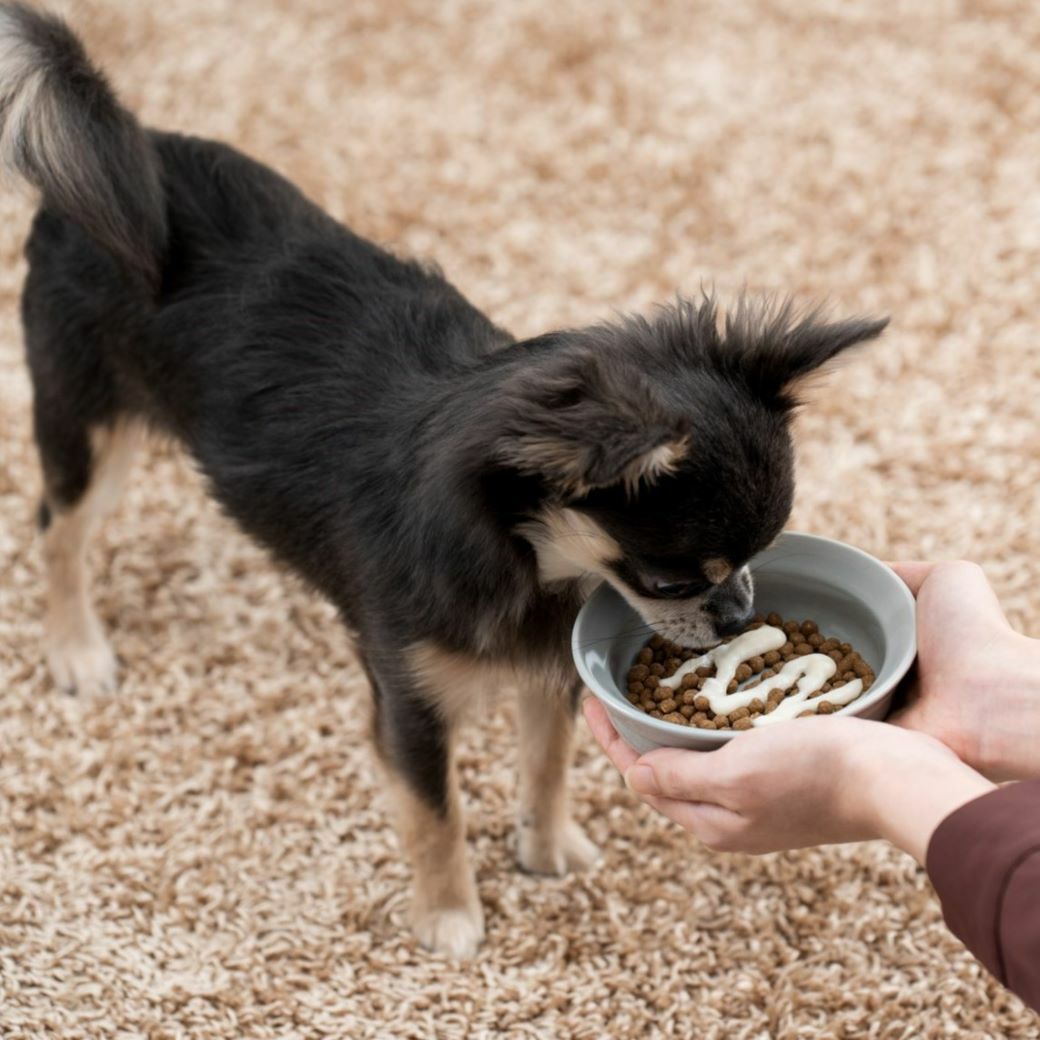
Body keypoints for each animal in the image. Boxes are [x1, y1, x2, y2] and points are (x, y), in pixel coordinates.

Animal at [0, 2, 886, 956]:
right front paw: (451, 916)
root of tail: (121, 149)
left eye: (759, 560)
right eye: (670, 579)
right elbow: (435, 812)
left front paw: (545, 847)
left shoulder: (550, 669)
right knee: (57, 527)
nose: (738, 616)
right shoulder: (409, 702)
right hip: (89, 423)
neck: (533, 558)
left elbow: (546, 764)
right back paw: (76, 648)